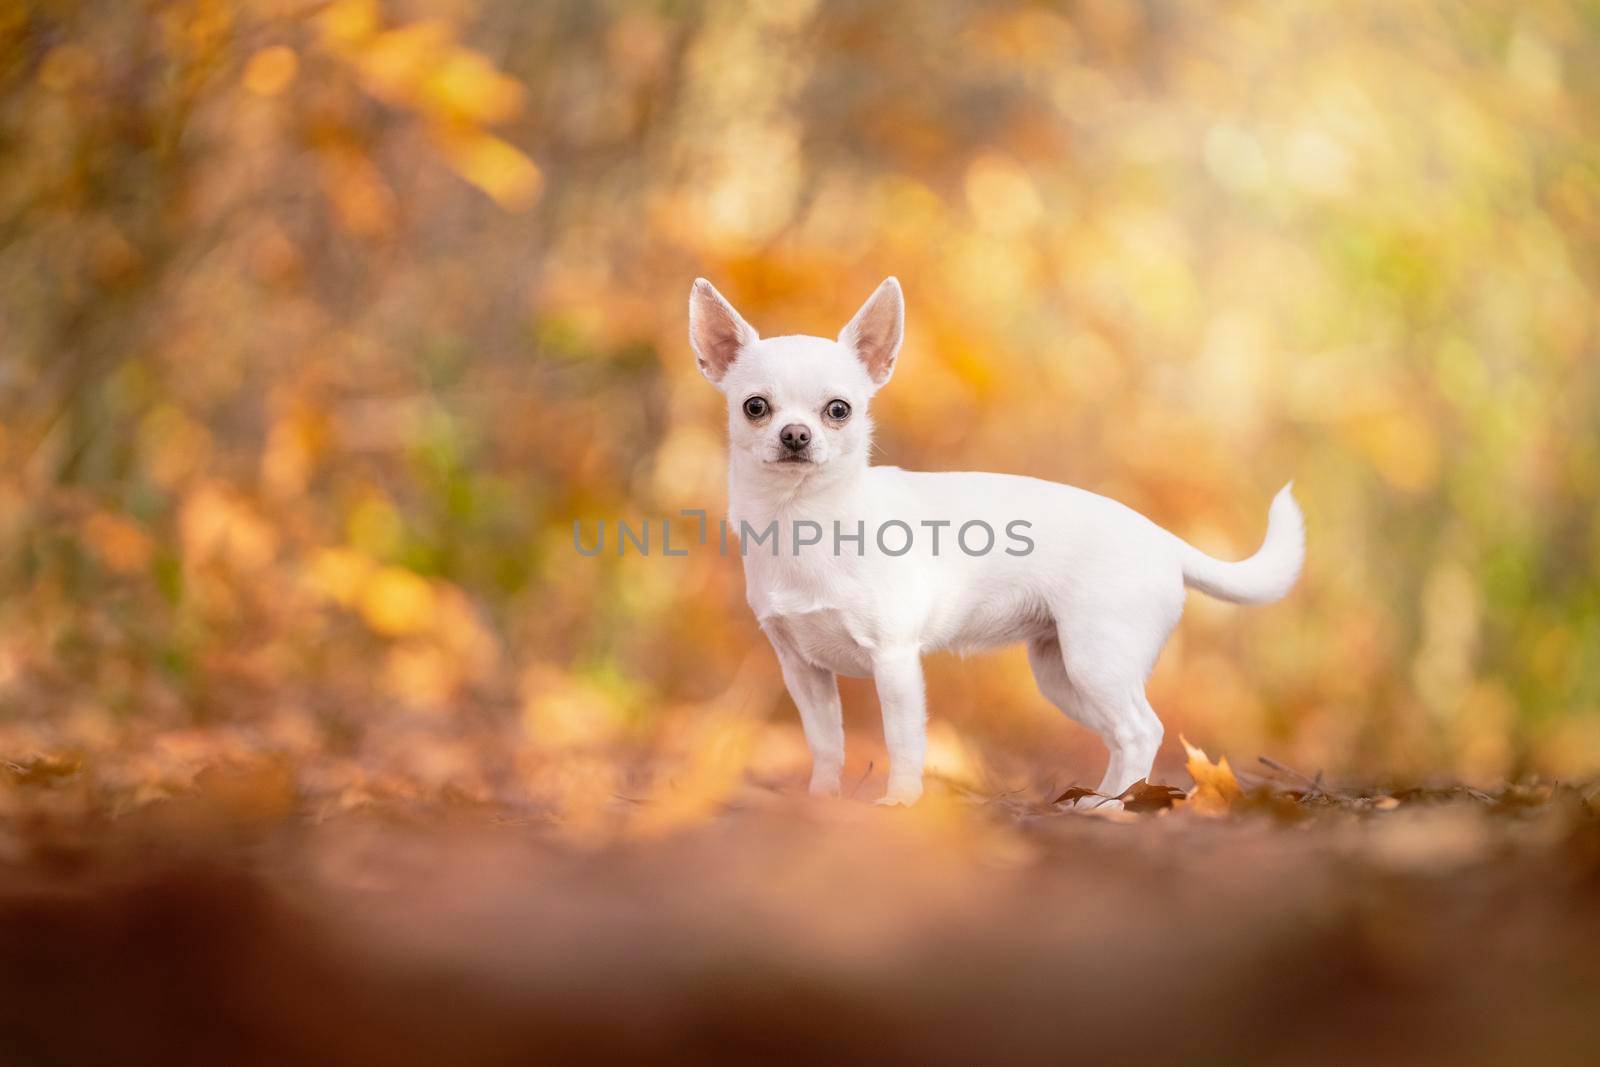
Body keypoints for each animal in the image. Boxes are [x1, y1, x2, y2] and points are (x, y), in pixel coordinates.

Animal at [688, 278, 1299, 809]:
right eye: (755, 406)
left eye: (839, 410)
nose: (795, 435)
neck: (805, 520)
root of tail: (1164, 540)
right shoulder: (803, 671)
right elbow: (825, 743)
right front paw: (820, 800)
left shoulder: (894, 661)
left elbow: (903, 743)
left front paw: (900, 803)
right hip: (1063, 675)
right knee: (1121, 735)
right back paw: (1100, 800)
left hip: (1098, 658)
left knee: (1142, 729)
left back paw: (1113, 807)